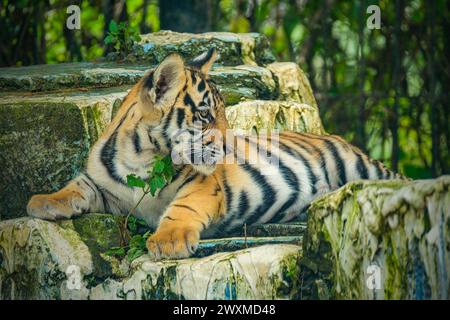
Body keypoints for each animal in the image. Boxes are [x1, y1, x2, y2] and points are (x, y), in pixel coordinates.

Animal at [25, 49, 404, 260]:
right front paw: (43, 202)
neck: (142, 157)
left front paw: (169, 241)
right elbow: (75, 187)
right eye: (206, 115)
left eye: (223, 113)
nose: (227, 147)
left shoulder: (202, 185)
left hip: (359, 166)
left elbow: (182, 208)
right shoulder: (100, 183)